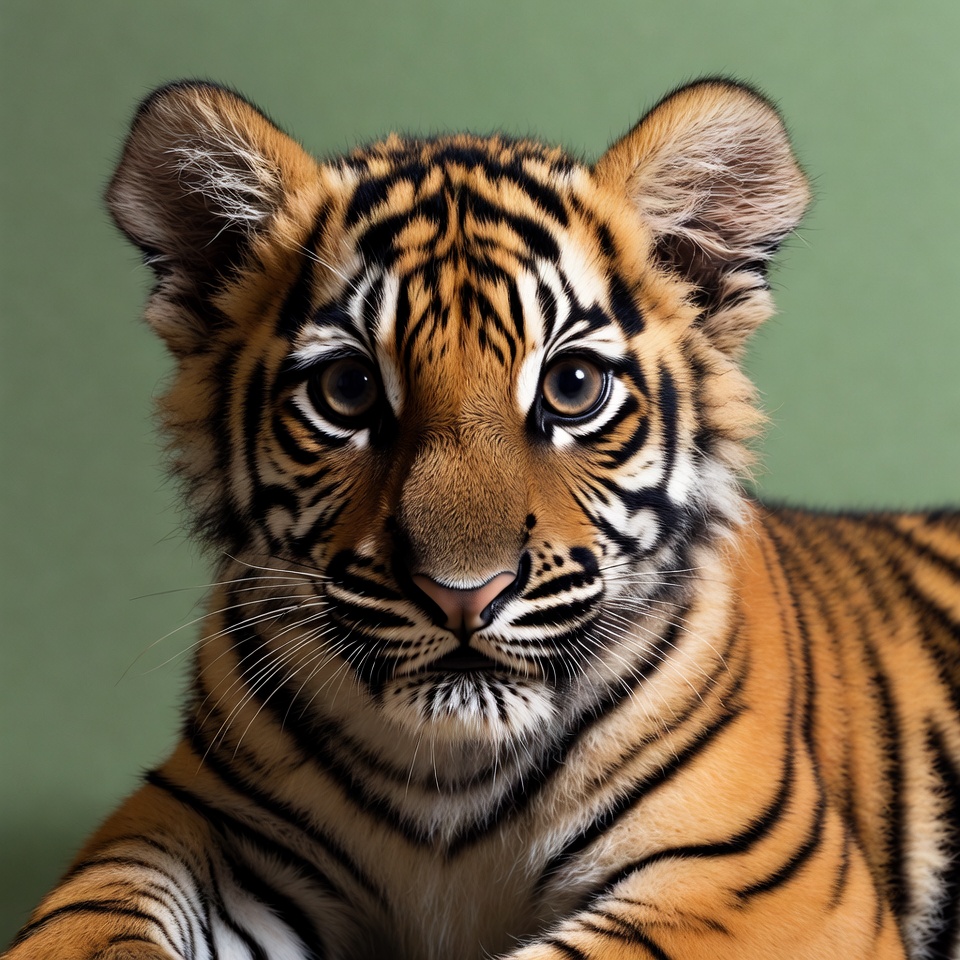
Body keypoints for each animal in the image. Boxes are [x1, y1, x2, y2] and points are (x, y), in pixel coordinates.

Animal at [6, 76, 960, 960]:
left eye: (573, 386)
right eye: (348, 389)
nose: (464, 594)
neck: (449, 773)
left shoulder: (754, 877)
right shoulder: (191, 817)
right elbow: (90, 916)